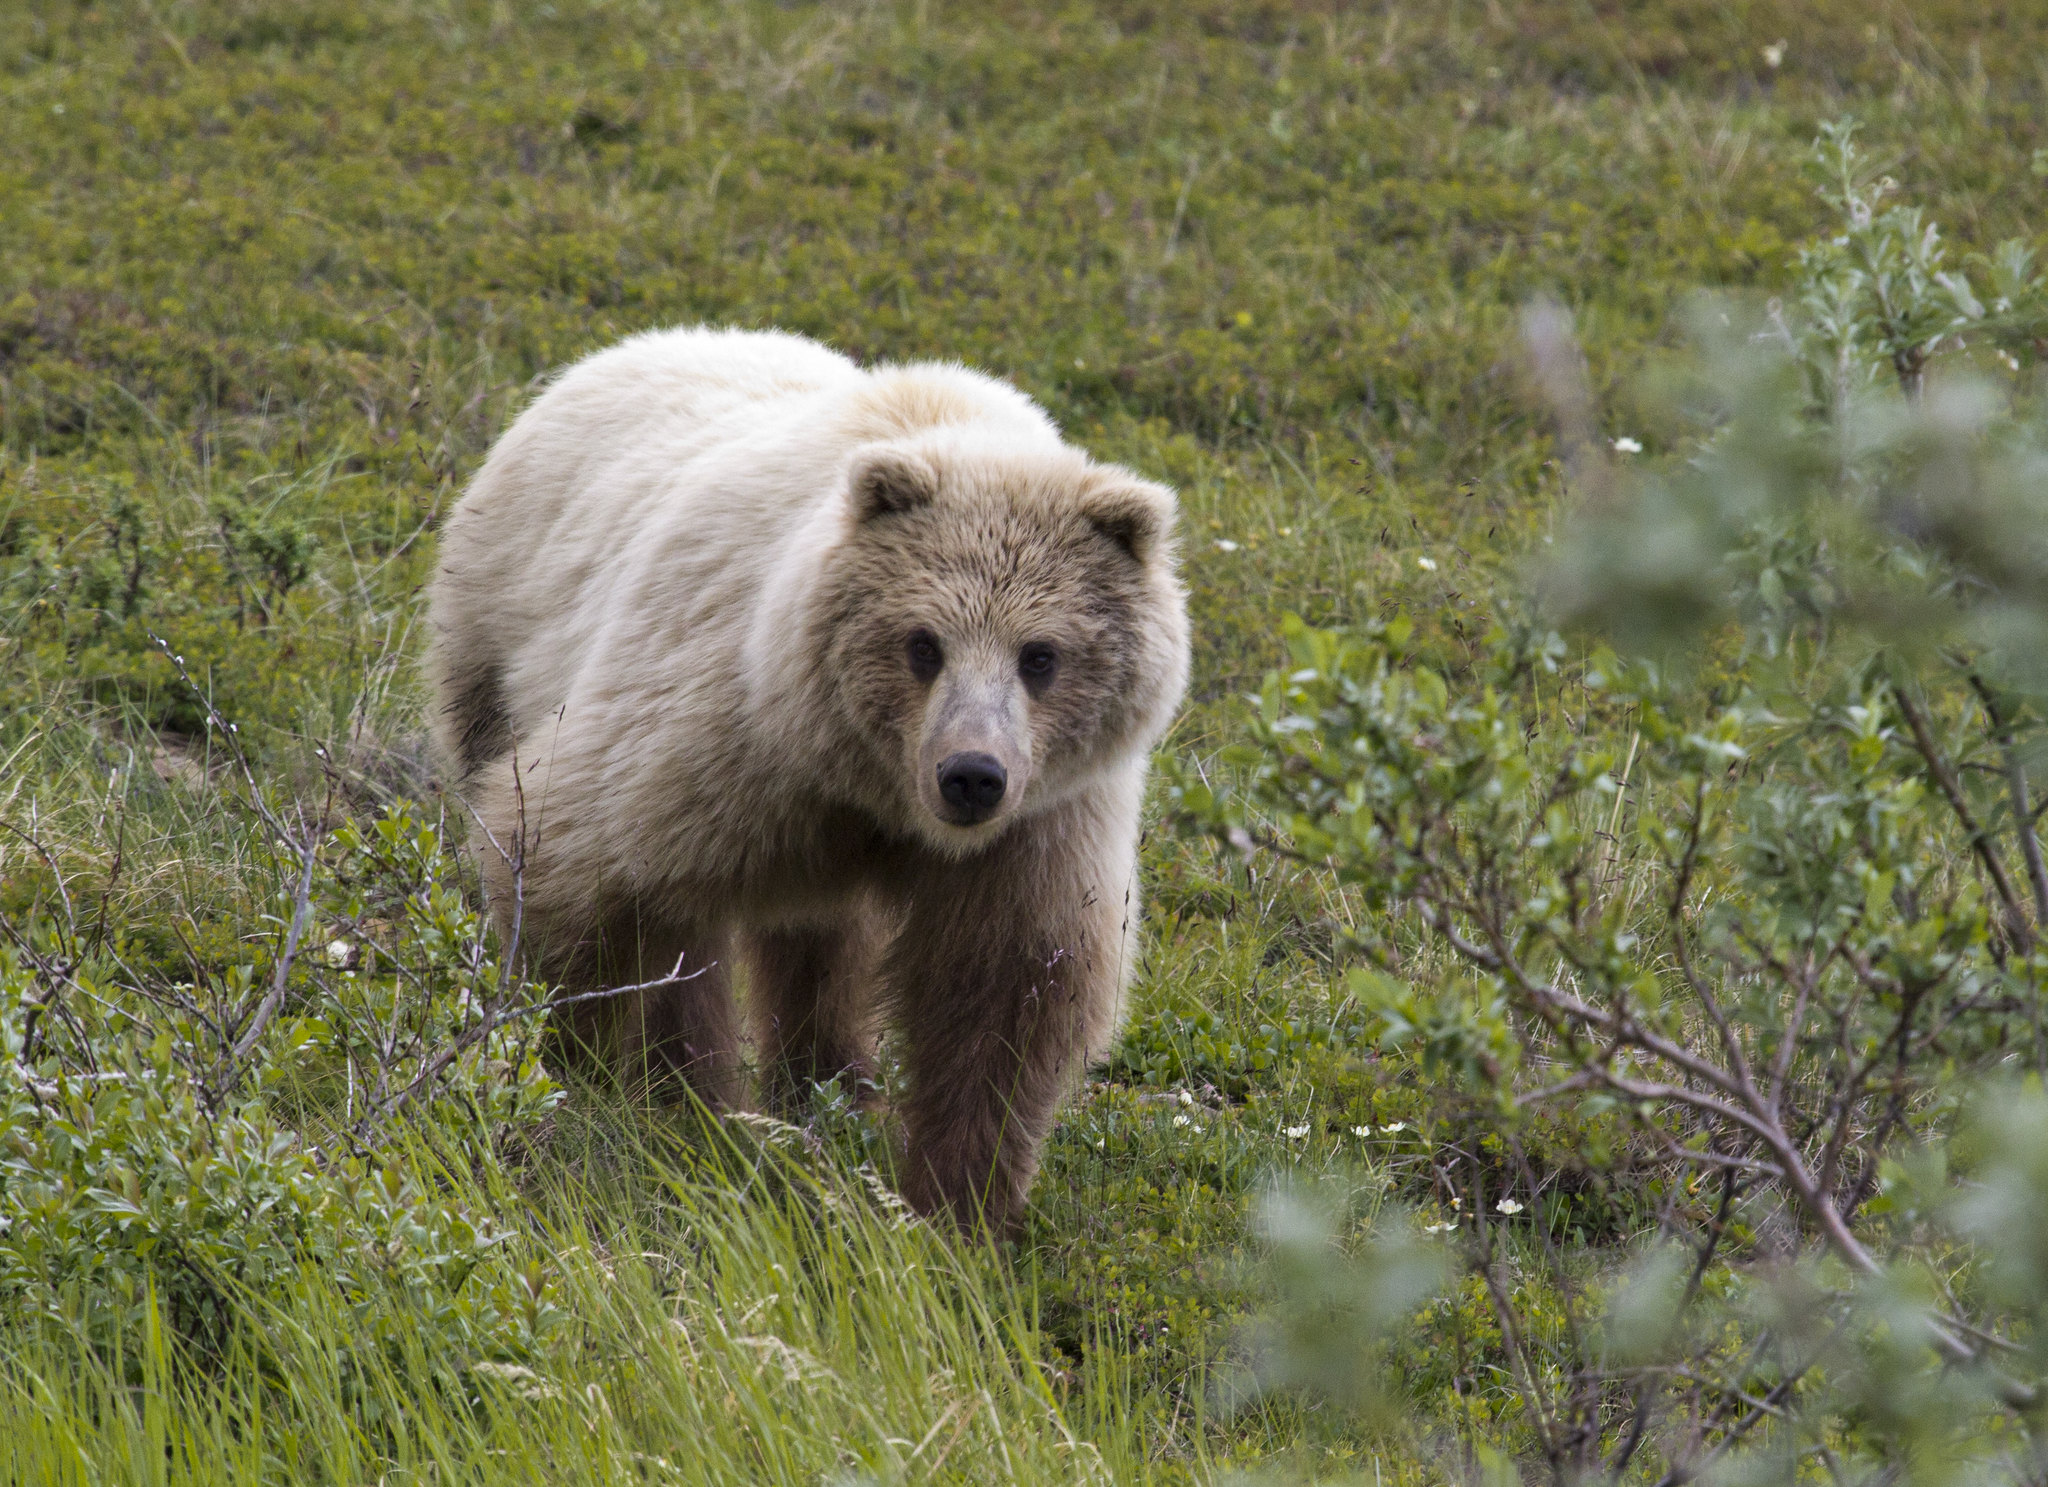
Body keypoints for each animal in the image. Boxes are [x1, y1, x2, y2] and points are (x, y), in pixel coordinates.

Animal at [425, 329, 1196, 1237]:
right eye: (922, 642)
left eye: (1040, 655)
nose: (971, 776)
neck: (871, 789)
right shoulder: (720, 729)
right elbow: (571, 864)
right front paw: (576, 1081)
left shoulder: (1040, 825)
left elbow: (1004, 990)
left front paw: (957, 1208)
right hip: (495, 645)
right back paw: (694, 1091)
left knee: (820, 944)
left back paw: (822, 1086)